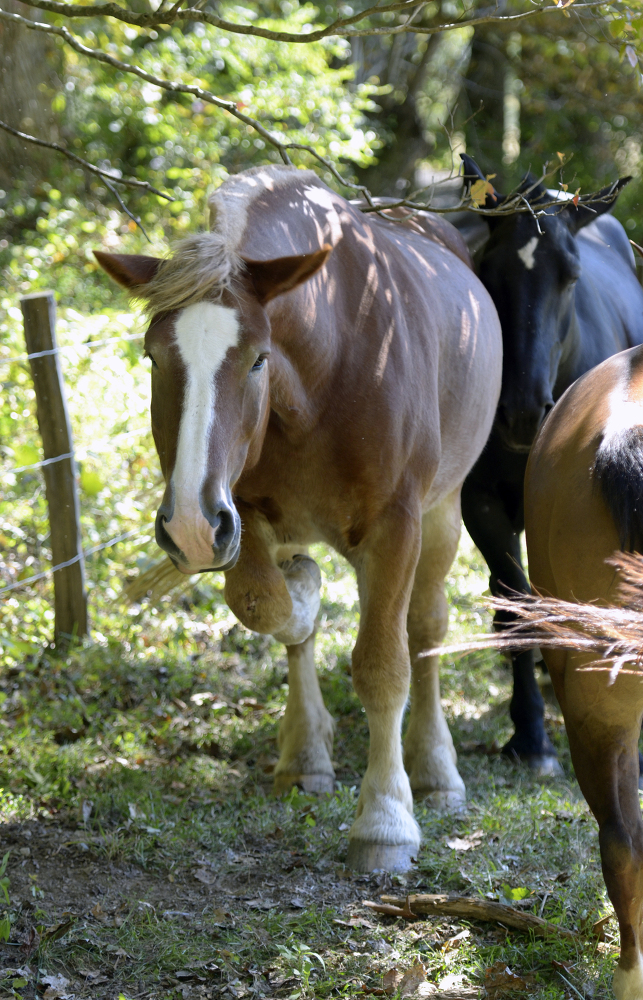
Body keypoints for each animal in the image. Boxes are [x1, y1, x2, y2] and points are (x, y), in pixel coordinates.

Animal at [95, 164, 504, 868]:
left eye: (257, 357)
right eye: (152, 357)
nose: (187, 526)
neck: (332, 358)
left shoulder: (397, 524)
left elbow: (383, 666)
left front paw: (385, 820)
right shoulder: (244, 518)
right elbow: (267, 605)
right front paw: (307, 594)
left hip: (443, 515)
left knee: (424, 629)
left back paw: (435, 770)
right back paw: (304, 755)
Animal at [462, 152, 643, 772]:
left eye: (570, 275)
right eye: (487, 271)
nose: (521, 411)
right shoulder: (481, 505)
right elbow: (518, 612)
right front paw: (531, 734)